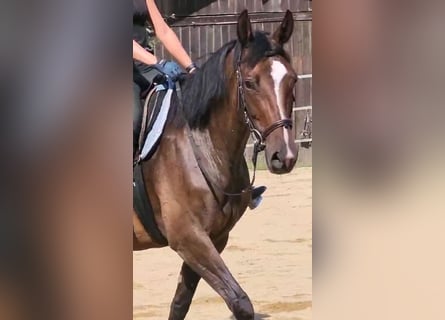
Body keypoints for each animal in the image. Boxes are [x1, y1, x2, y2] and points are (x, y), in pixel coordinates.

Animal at [133, 10, 298, 320]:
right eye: (250, 83)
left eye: (292, 81)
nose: (284, 156)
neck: (200, 145)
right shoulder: (188, 237)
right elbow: (240, 302)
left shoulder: (215, 237)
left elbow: (180, 303)